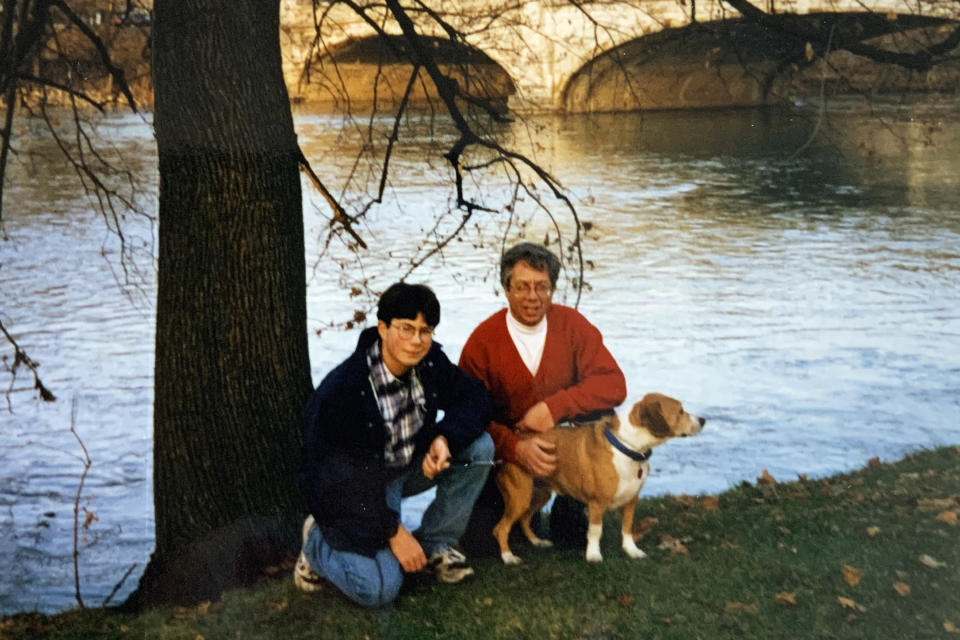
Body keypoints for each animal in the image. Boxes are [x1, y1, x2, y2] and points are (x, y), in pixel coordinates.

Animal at [496, 392, 704, 564]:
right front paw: (594, 555)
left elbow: (627, 528)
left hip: (540, 494)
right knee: (500, 529)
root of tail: (517, 439)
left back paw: (537, 541)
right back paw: (508, 557)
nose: (703, 420)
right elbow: (596, 531)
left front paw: (632, 551)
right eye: (680, 411)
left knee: (524, 520)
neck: (628, 448)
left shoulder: (631, 501)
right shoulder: (597, 503)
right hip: (521, 496)